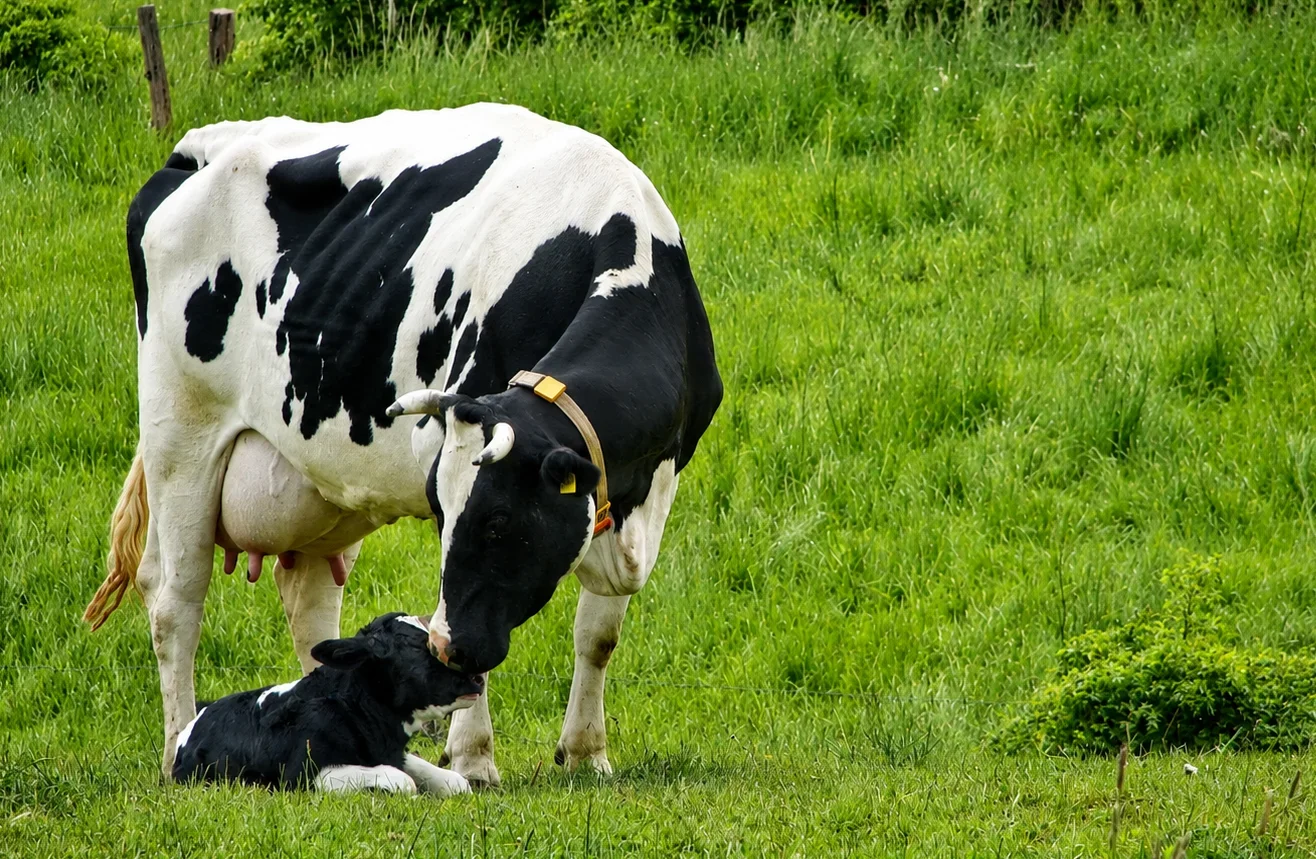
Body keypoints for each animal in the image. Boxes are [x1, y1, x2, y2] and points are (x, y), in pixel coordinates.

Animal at [174, 613, 481, 794]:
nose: (476, 678)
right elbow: (402, 781)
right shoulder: (302, 776)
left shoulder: (394, 753)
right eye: (418, 647)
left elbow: (457, 782)